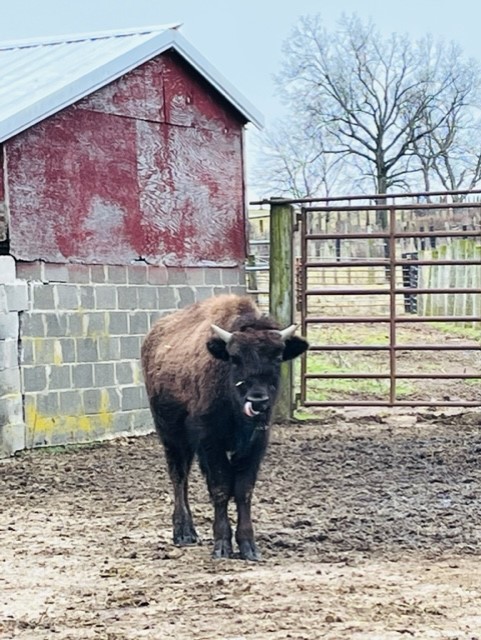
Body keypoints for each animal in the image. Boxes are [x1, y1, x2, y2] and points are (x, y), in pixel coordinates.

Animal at [141, 294, 309, 560]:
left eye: (277, 357)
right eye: (235, 358)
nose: (258, 400)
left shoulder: (255, 443)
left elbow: (242, 489)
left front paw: (249, 546)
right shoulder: (211, 442)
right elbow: (220, 488)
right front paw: (222, 545)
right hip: (171, 434)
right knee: (179, 477)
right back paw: (184, 533)